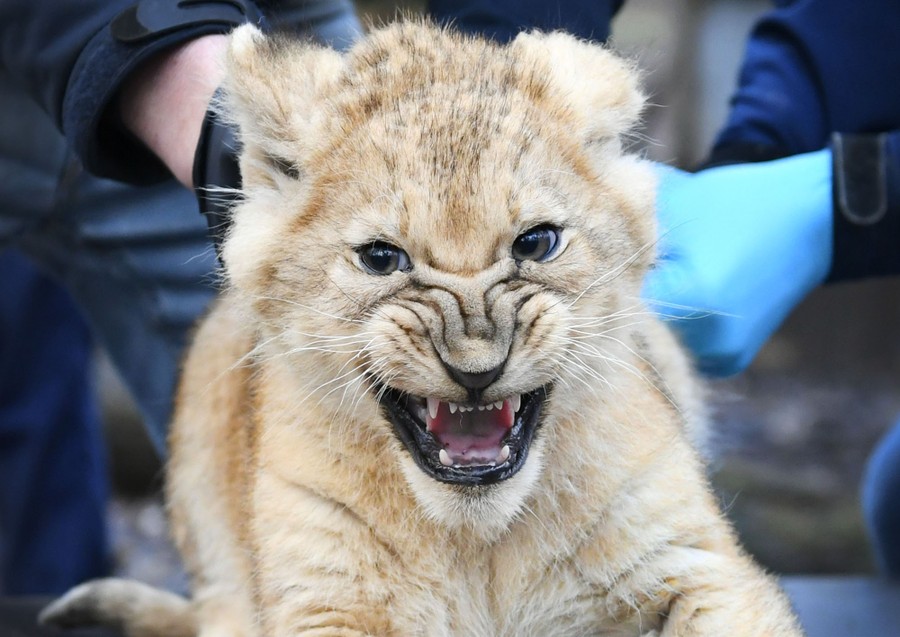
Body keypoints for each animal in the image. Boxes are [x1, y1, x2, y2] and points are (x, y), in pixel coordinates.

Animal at [41, 21, 804, 637]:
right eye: (382, 257)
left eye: (537, 242)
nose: (477, 367)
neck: (480, 545)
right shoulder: (321, 601)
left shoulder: (702, 567)